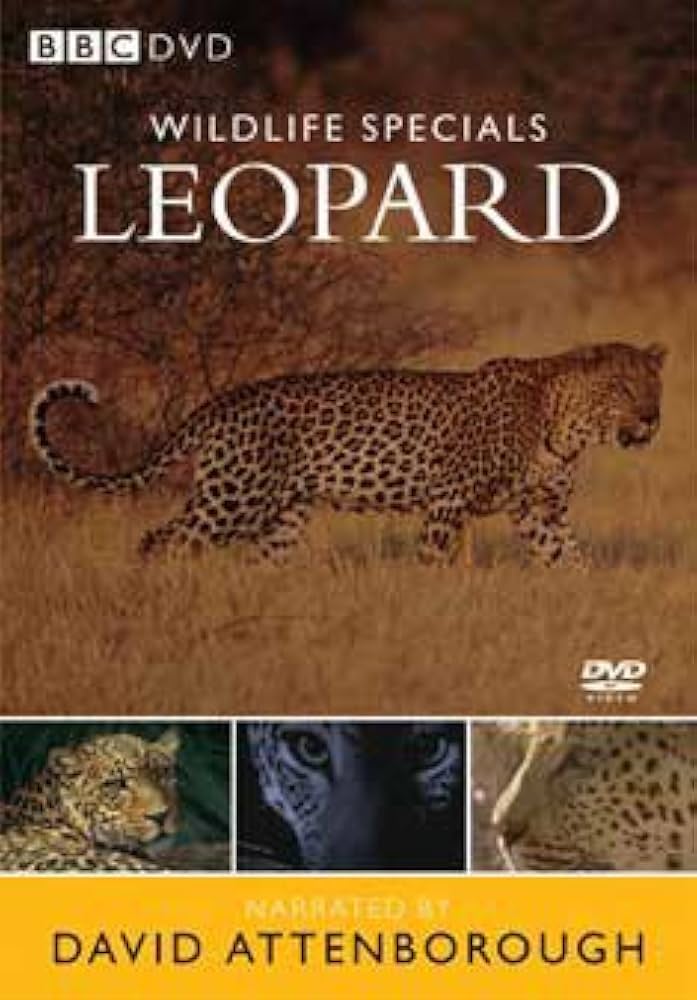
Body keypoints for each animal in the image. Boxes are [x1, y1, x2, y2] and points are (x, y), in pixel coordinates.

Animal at [30, 341, 665, 567]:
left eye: (654, 385)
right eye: (623, 388)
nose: (653, 419)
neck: (567, 428)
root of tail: (218, 402)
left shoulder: (539, 514)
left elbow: (572, 562)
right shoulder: (447, 501)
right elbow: (431, 563)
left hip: (281, 516)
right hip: (232, 501)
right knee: (160, 540)